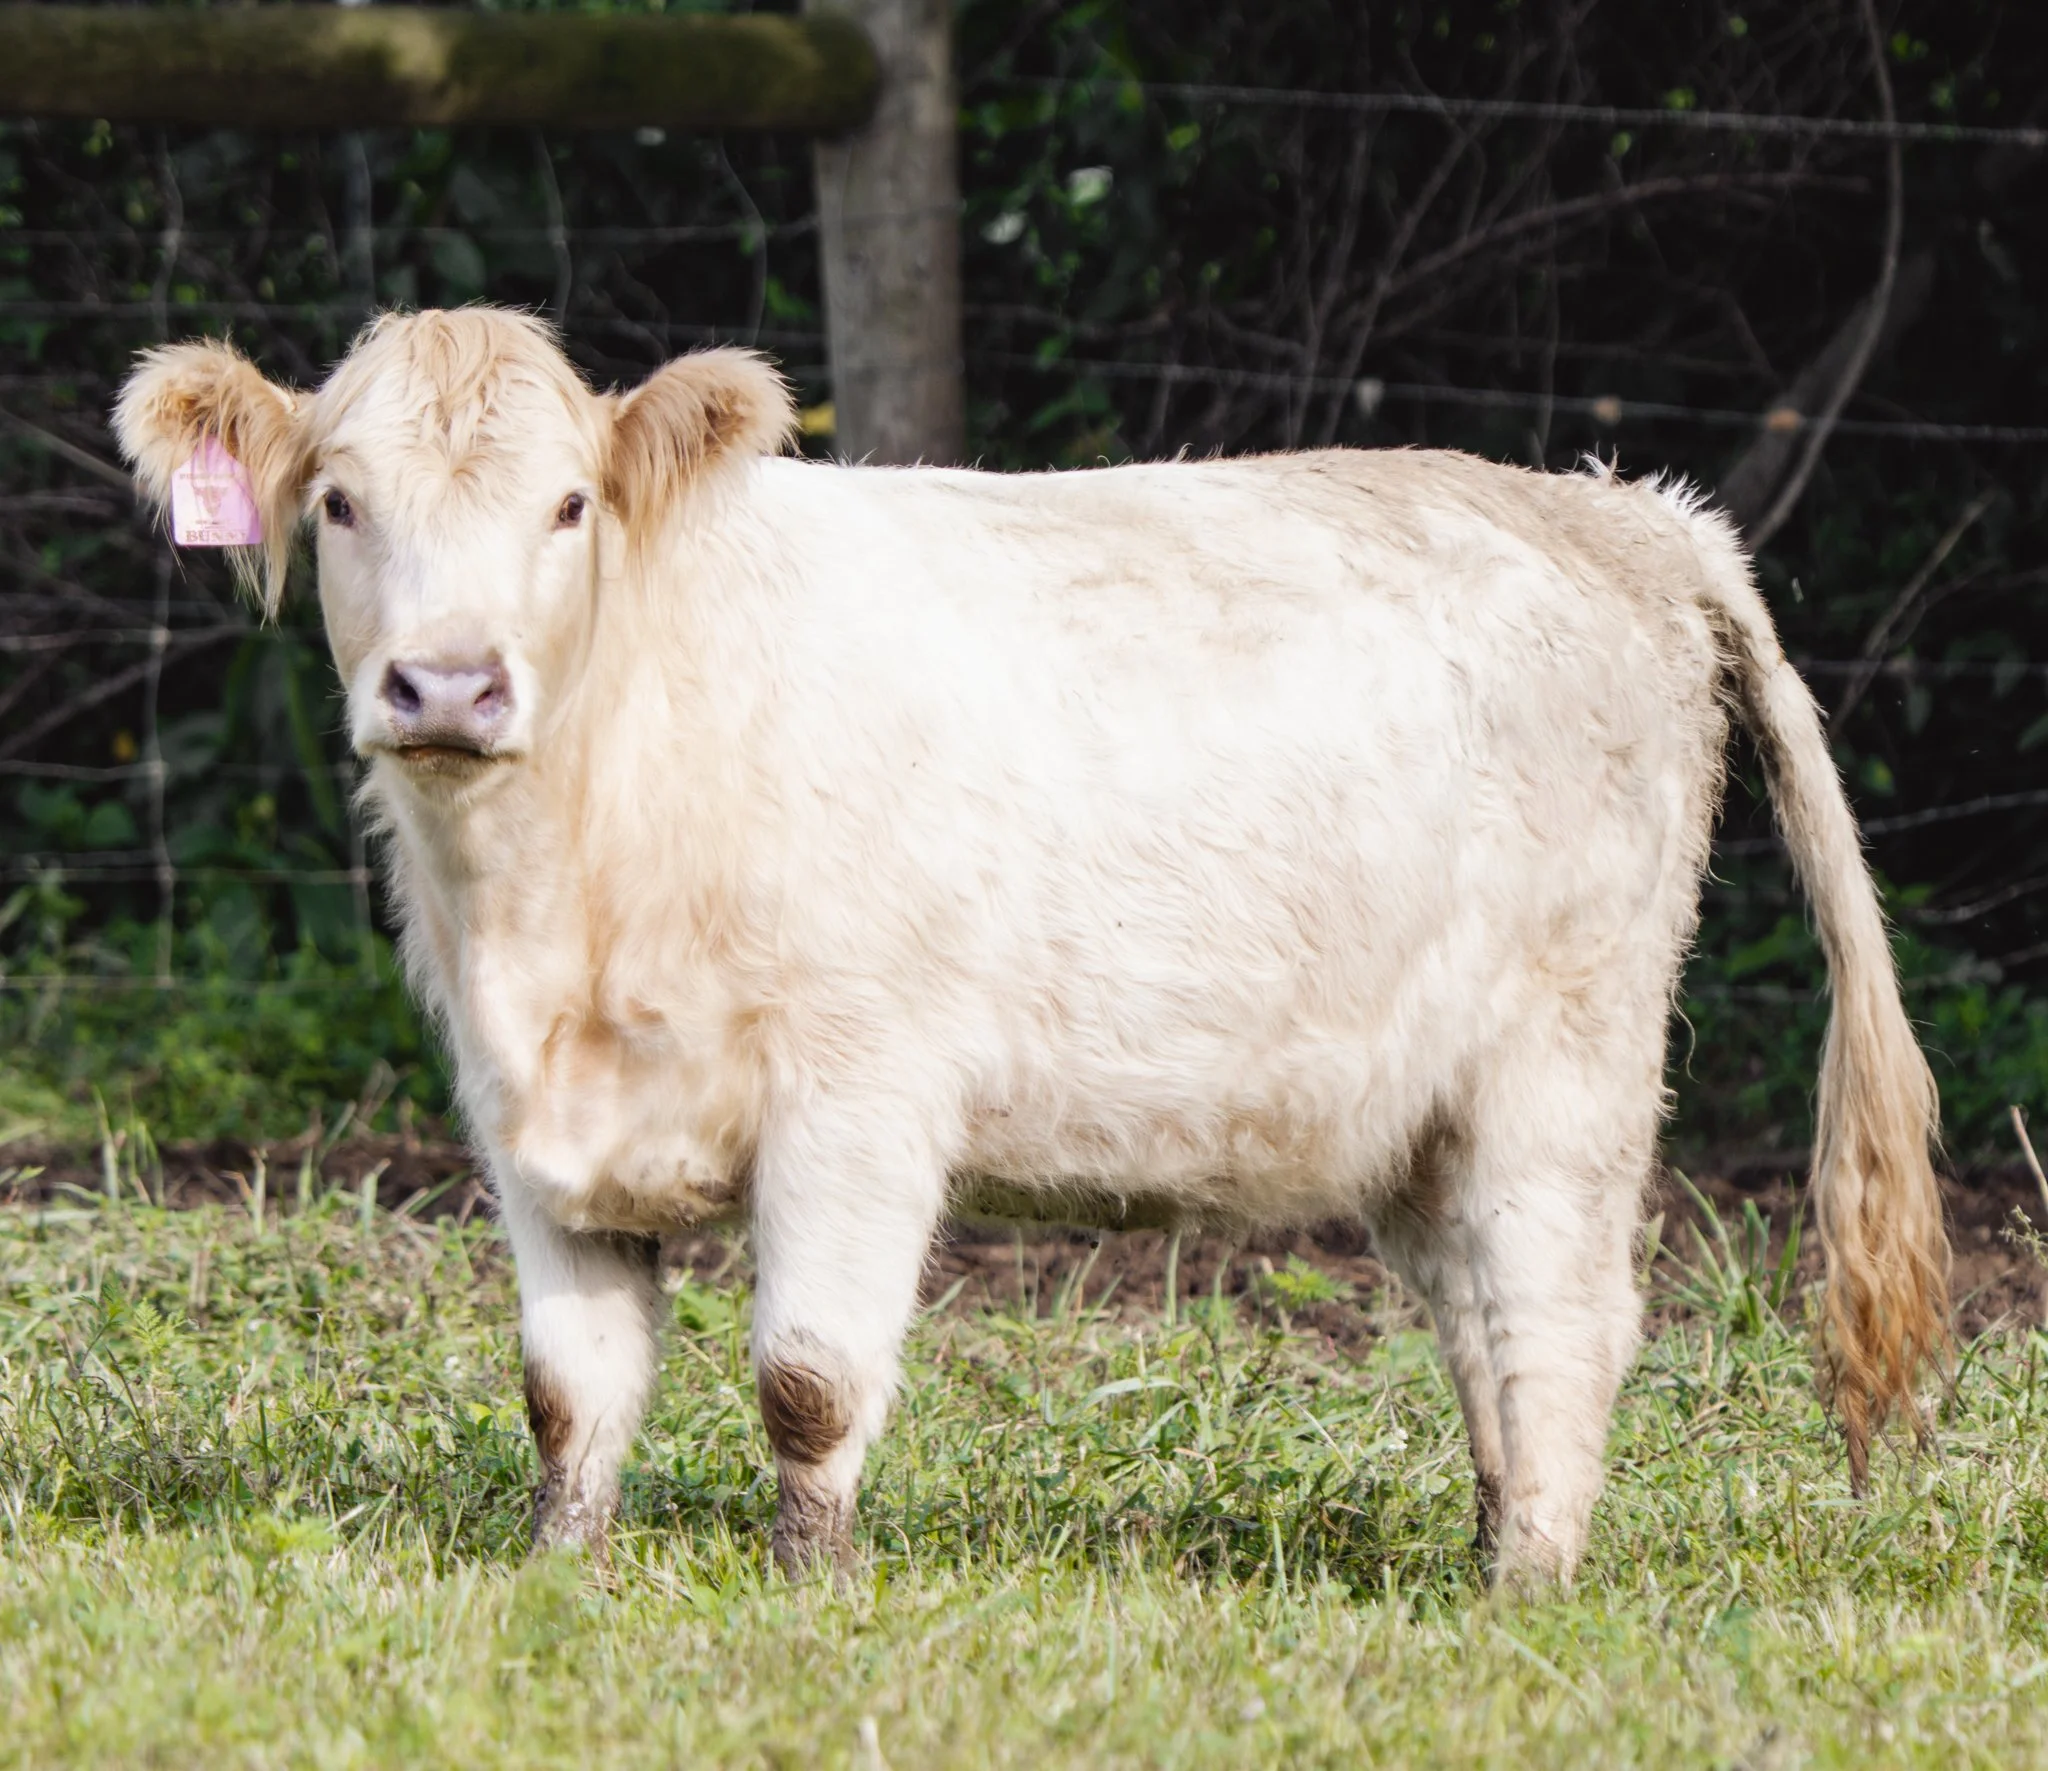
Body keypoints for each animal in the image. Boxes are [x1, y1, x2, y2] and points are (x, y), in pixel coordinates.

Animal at [115, 308, 1949, 1588]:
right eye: (338, 504)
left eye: (569, 505)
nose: (445, 683)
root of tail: (1630, 514)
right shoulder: (529, 1131)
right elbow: (572, 1390)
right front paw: (562, 1570)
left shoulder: (860, 1095)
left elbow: (807, 1377)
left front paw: (808, 1583)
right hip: (1422, 1110)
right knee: (1485, 1328)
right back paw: (1490, 1542)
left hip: (1564, 1063)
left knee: (1561, 1312)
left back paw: (1525, 1585)